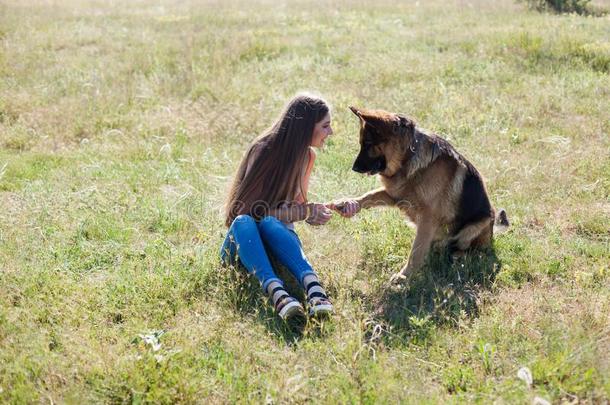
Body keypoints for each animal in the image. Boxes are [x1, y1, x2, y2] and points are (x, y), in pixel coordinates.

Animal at [344, 105, 506, 282]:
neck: (408, 157)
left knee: (473, 251)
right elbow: (370, 196)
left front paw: (404, 276)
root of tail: (492, 234)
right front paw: (346, 203)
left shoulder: (428, 218)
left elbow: (416, 251)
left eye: (368, 143)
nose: (354, 168)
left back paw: (458, 256)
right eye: (361, 143)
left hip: (477, 224)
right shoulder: (396, 196)